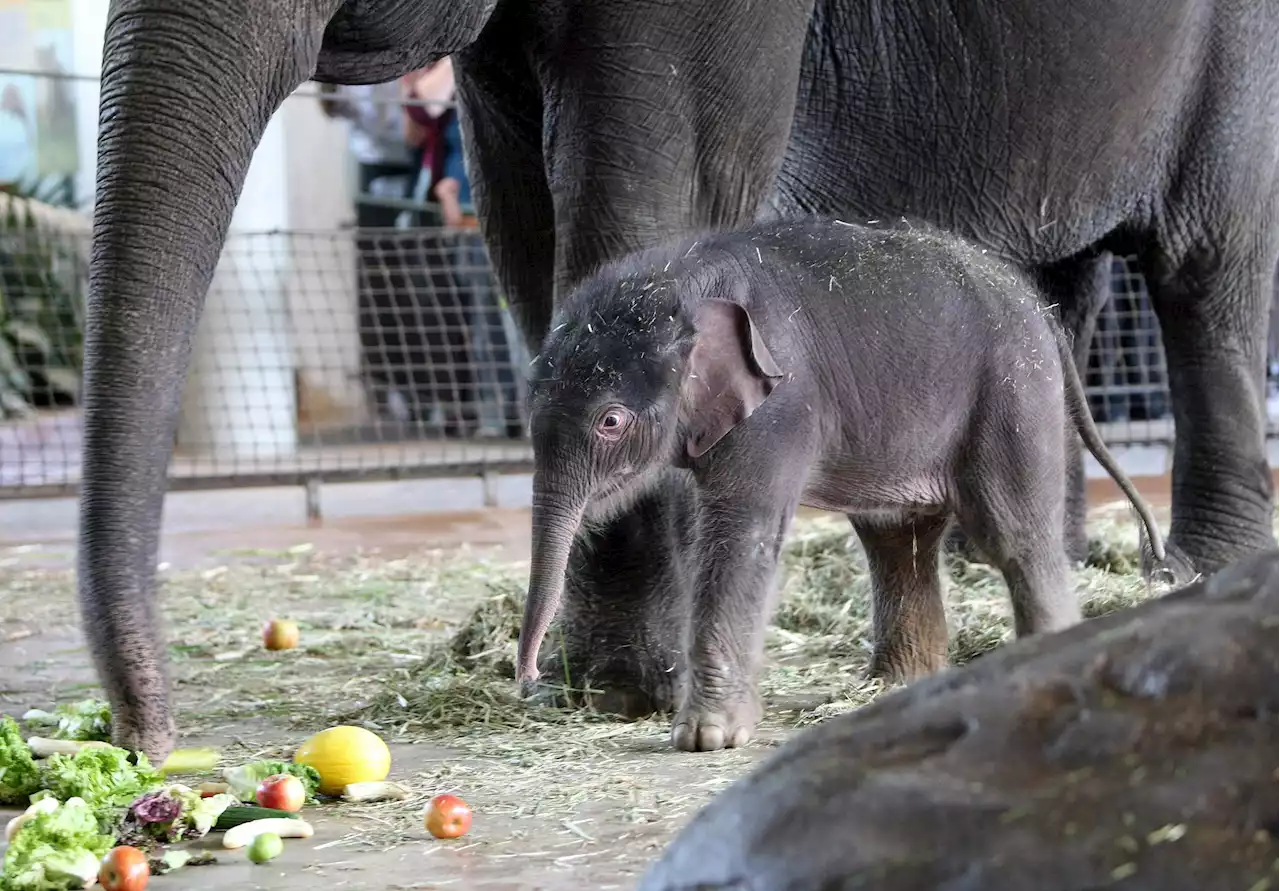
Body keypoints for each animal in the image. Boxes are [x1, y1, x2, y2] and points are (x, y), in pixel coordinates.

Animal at [514, 216, 1167, 752]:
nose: (530, 680)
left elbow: (741, 534)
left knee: (1012, 535)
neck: (680, 282)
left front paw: (705, 738)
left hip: (1014, 392)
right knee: (895, 539)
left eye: (610, 421)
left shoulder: (782, 405)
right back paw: (894, 685)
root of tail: (1043, 310)